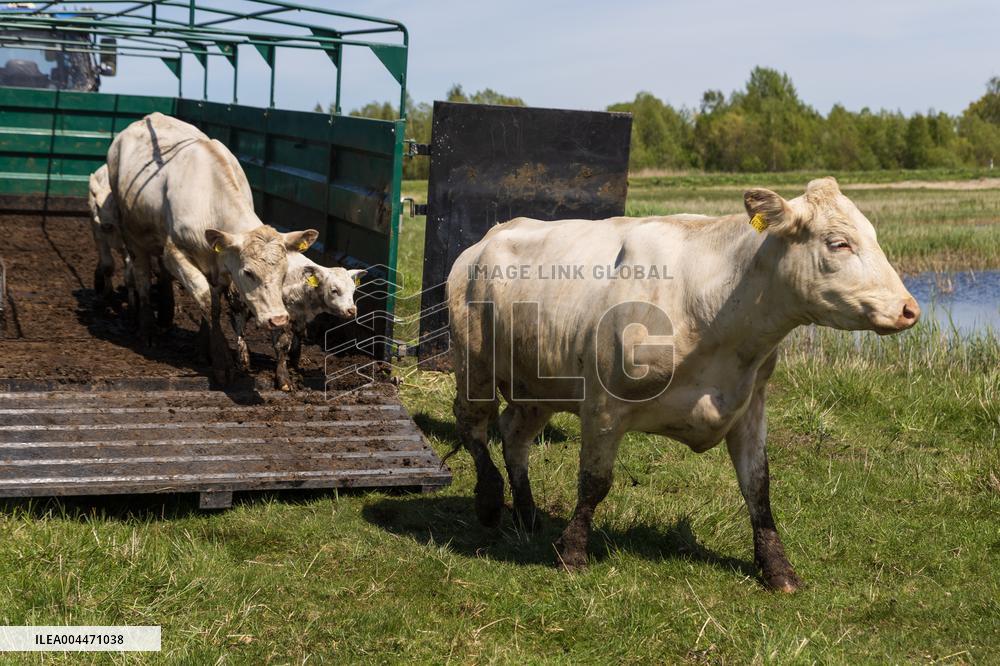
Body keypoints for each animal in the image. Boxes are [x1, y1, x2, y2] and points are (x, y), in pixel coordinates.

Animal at [107, 112, 318, 384]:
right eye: (248, 272)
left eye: (283, 274)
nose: (278, 319)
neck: (209, 199)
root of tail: (148, 118)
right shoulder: (175, 254)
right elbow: (207, 301)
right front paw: (221, 361)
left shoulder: (220, 262)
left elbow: (212, 302)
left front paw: (201, 348)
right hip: (133, 236)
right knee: (142, 277)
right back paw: (148, 330)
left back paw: (165, 311)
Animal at [228, 252, 366, 390]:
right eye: (334, 290)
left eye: (353, 290)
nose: (351, 310)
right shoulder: (280, 318)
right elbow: (282, 344)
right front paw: (284, 379)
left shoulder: (301, 317)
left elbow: (299, 334)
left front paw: (295, 360)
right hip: (236, 300)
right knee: (239, 327)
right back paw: (243, 359)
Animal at [447, 177, 920, 592]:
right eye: (839, 242)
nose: (909, 309)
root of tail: (488, 237)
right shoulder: (603, 405)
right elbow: (595, 482)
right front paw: (573, 553)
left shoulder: (749, 407)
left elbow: (758, 488)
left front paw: (778, 569)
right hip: (475, 364)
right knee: (473, 426)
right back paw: (489, 501)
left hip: (539, 384)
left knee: (514, 434)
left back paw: (527, 515)